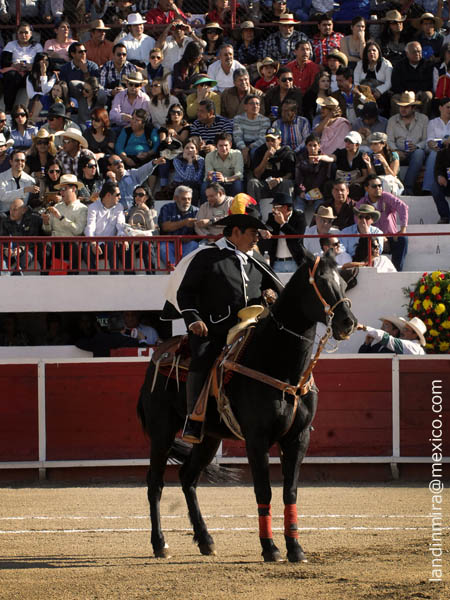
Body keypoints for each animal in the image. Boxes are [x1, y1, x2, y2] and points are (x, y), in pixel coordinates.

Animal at [137, 244, 358, 564]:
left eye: (343, 282)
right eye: (319, 282)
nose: (347, 322)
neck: (280, 363)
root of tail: (157, 357)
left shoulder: (298, 437)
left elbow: (290, 492)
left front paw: (295, 548)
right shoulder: (257, 438)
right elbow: (263, 491)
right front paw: (270, 548)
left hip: (208, 438)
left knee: (187, 478)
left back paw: (206, 540)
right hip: (162, 432)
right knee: (155, 483)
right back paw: (160, 543)